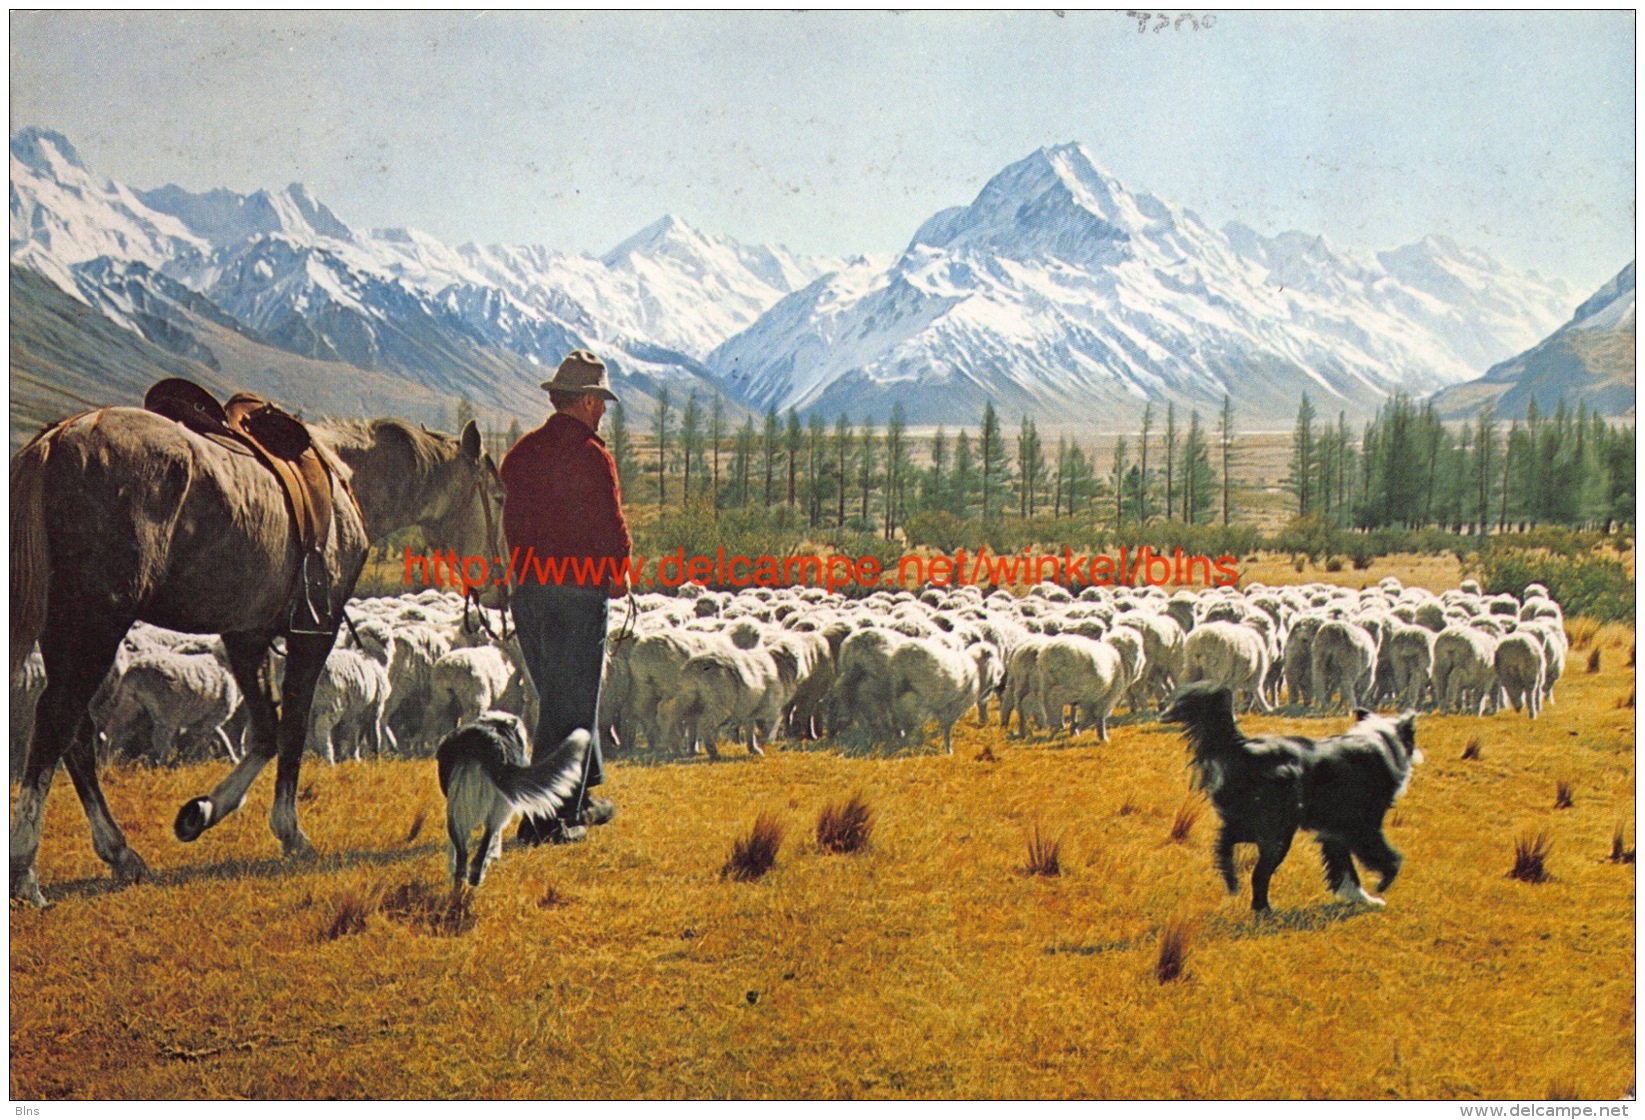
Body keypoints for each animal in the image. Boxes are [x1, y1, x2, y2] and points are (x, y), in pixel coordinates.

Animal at [9, 406, 503, 901]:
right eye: (498, 496)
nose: (501, 579)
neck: (349, 477)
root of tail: (56, 440)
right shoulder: (314, 631)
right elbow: (292, 729)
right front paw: (289, 830)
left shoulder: (246, 635)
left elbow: (265, 732)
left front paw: (203, 811)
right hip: (97, 623)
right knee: (56, 721)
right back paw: (25, 868)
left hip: (64, 632)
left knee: (76, 735)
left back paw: (119, 852)